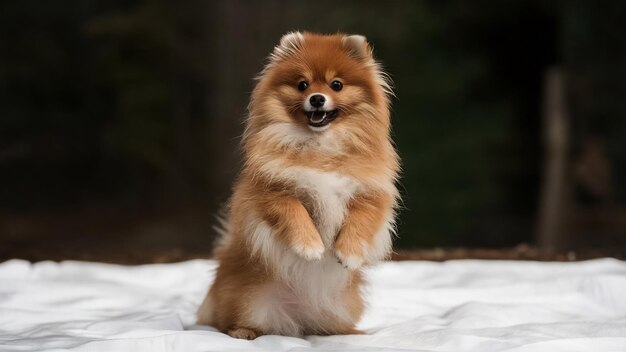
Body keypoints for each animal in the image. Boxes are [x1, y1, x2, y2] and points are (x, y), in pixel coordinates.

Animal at [196, 31, 400, 340]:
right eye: (302, 84)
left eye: (336, 85)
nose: (316, 99)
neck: (320, 146)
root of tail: (299, 319)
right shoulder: (271, 191)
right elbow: (294, 214)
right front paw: (310, 247)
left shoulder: (370, 193)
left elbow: (360, 221)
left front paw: (349, 253)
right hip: (250, 300)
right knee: (231, 320)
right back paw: (243, 332)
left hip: (342, 306)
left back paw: (350, 333)